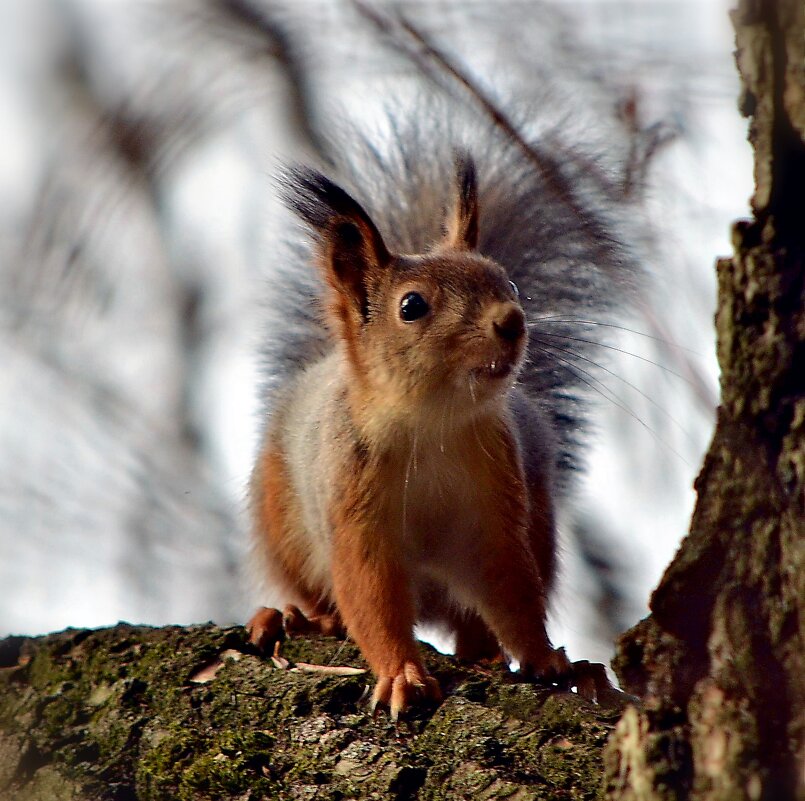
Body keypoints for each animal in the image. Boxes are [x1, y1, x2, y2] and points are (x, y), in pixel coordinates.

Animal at [245, 108, 636, 720]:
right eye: (412, 306)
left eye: (507, 280)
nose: (511, 320)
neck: (429, 424)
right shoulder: (353, 509)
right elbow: (371, 595)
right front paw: (401, 674)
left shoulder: (494, 505)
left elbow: (509, 587)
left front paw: (544, 658)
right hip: (280, 523)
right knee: (325, 598)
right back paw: (294, 617)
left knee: (474, 624)